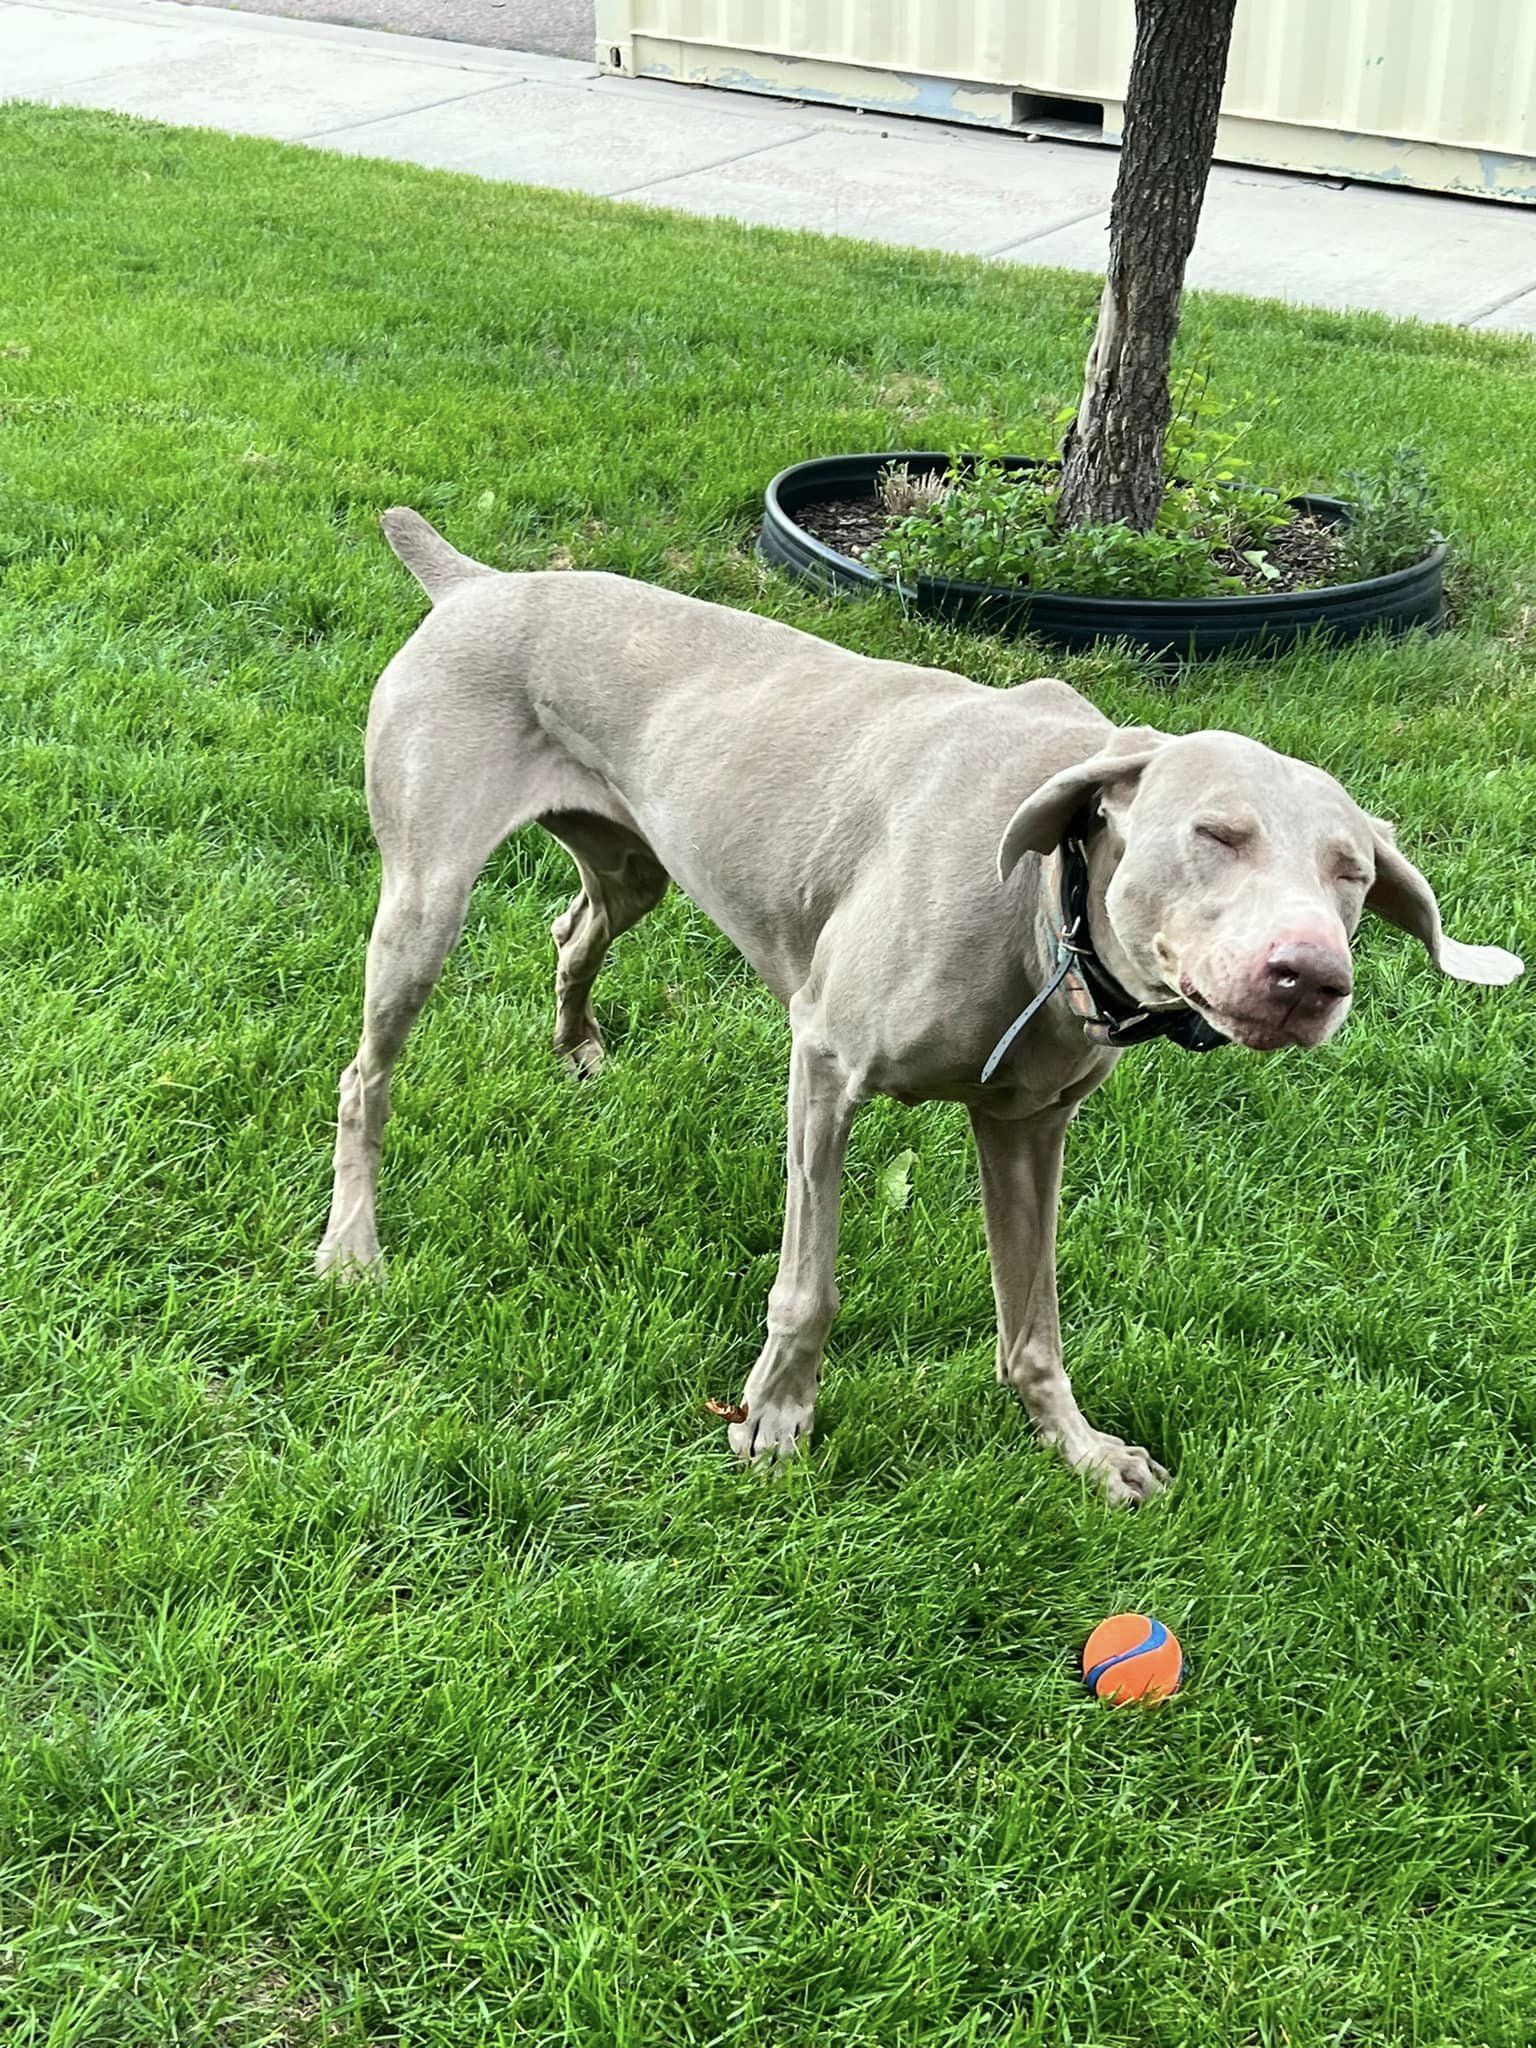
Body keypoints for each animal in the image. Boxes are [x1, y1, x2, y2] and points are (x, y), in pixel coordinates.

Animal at [315, 512, 1531, 1507]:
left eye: (1353, 874)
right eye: (1216, 833)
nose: (1312, 976)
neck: (1045, 910)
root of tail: (477, 583)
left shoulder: (1028, 1125)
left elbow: (1032, 1318)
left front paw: (1081, 1451)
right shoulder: (824, 1065)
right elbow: (808, 1284)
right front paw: (777, 1420)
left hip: (632, 864)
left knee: (574, 930)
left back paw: (577, 1049)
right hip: (424, 894)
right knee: (364, 1073)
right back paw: (352, 1247)